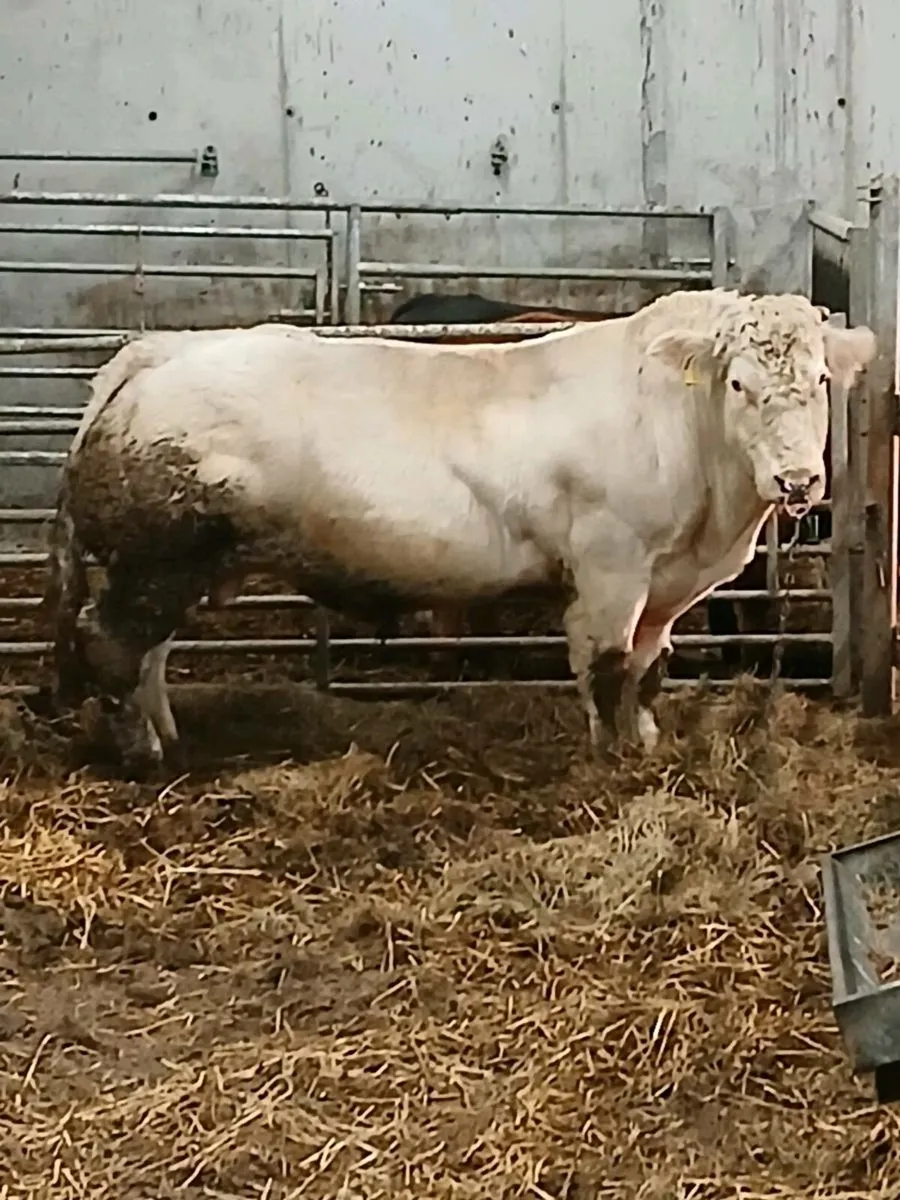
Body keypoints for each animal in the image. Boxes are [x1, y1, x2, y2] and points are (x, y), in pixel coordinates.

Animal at [43, 289, 876, 778]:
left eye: (821, 381)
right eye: (739, 384)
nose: (798, 480)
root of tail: (160, 351)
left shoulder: (664, 585)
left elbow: (648, 668)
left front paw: (642, 742)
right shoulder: (610, 565)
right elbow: (607, 668)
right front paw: (611, 761)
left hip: (169, 561)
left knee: (149, 653)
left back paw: (170, 734)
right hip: (156, 559)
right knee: (111, 643)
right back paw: (144, 755)